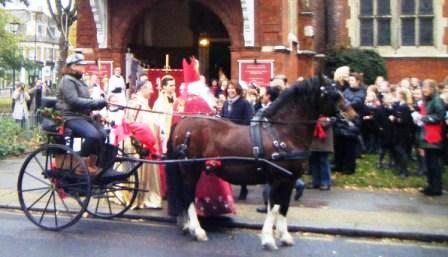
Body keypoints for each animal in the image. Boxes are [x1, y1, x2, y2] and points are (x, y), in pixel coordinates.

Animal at [166, 75, 344, 248]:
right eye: (332, 95)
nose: (343, 118)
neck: (283, 133)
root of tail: (182, 122)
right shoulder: (279, 179)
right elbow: (275, 208)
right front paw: (268, 239)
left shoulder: (289, 180)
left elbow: (284, 207)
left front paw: (285, 236)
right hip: (190, 169)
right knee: (188, 197)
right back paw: (198, 231)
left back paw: (187, 226)